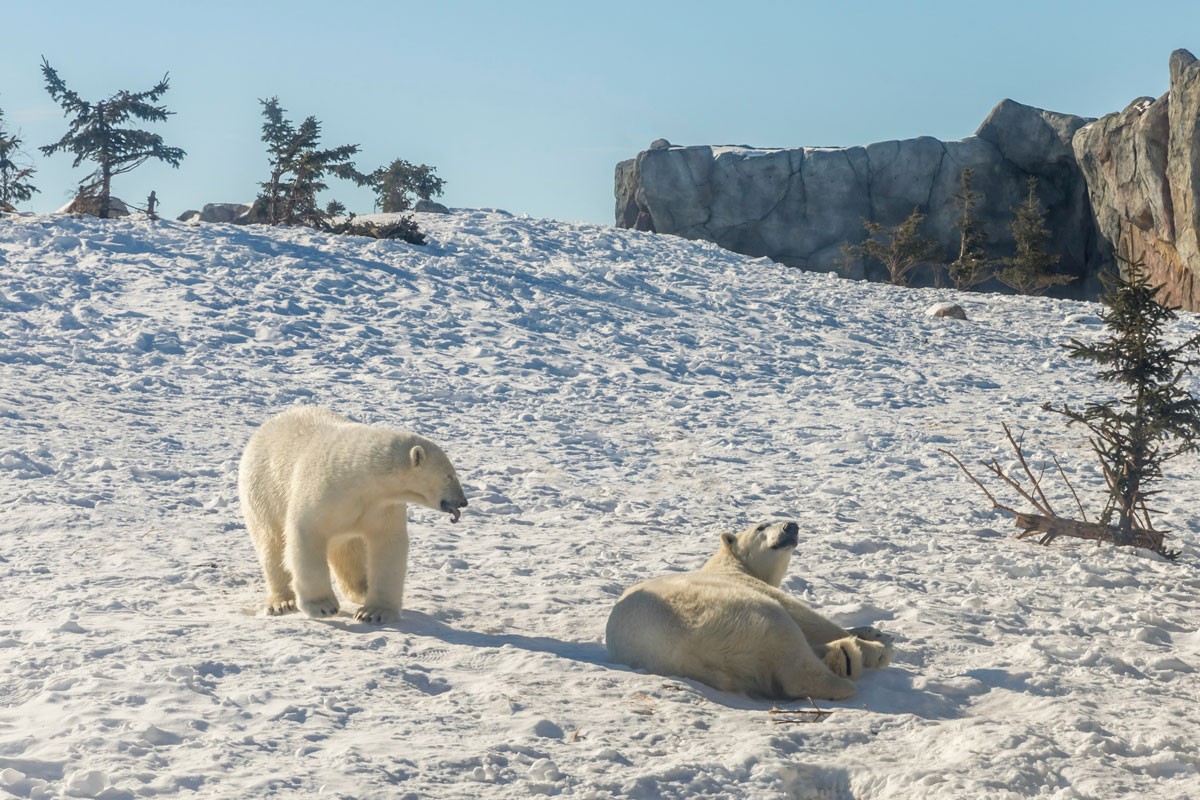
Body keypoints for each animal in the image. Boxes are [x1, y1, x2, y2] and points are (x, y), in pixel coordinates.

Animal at [238, 407, 468, 623]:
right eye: (450, 475)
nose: (463, 501)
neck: (359, 476)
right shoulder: (322, 492)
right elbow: (306, 535)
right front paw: (323, 606)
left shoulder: (381, 506)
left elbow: (388, 543)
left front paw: (374, 612)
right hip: (263, 492)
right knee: (272, 544)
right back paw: (282, 601)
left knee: (349, 551)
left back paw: (362, 590)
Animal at [609, 520, 892, 700]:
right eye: (761, 527)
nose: (791, 526)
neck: (728, 564)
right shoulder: (747, 585)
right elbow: (807, 617)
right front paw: (877, 641)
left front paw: (871, 632)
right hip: (734, 614)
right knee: (791, 650)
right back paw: (848, 664)